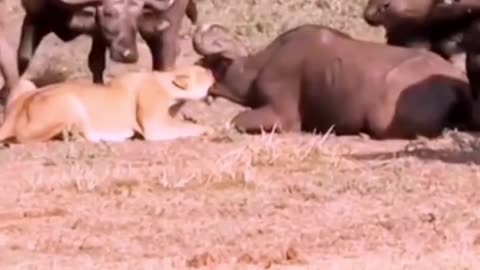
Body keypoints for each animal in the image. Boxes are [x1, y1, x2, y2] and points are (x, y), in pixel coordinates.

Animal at [17, 0, 193, 83]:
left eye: (137, 16)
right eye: (108, 13)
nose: (129, 55)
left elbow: (96, 63)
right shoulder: (34, 17)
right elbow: (23, 58)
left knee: (165, 53)